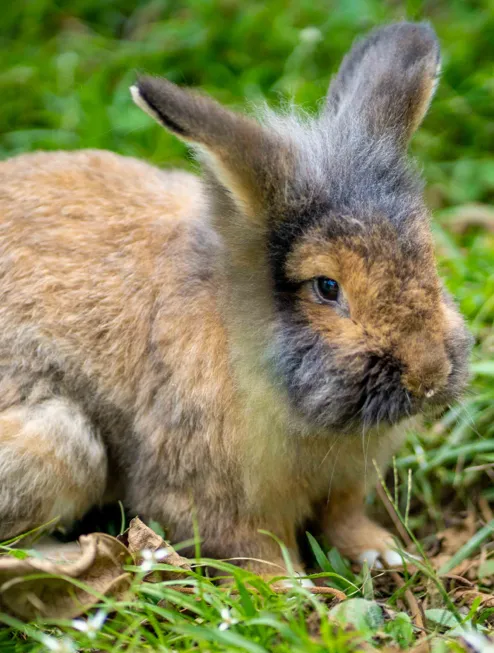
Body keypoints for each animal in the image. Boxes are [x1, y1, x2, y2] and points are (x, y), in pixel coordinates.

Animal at [0, 22, 471, 579]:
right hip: (61, 445)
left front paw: (384, 553)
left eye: (429, 260)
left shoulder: (345, 483)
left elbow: (345, 518)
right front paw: (295, 589)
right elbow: (257, 549)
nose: (429, 376)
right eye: (326, 287)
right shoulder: (217, 496)